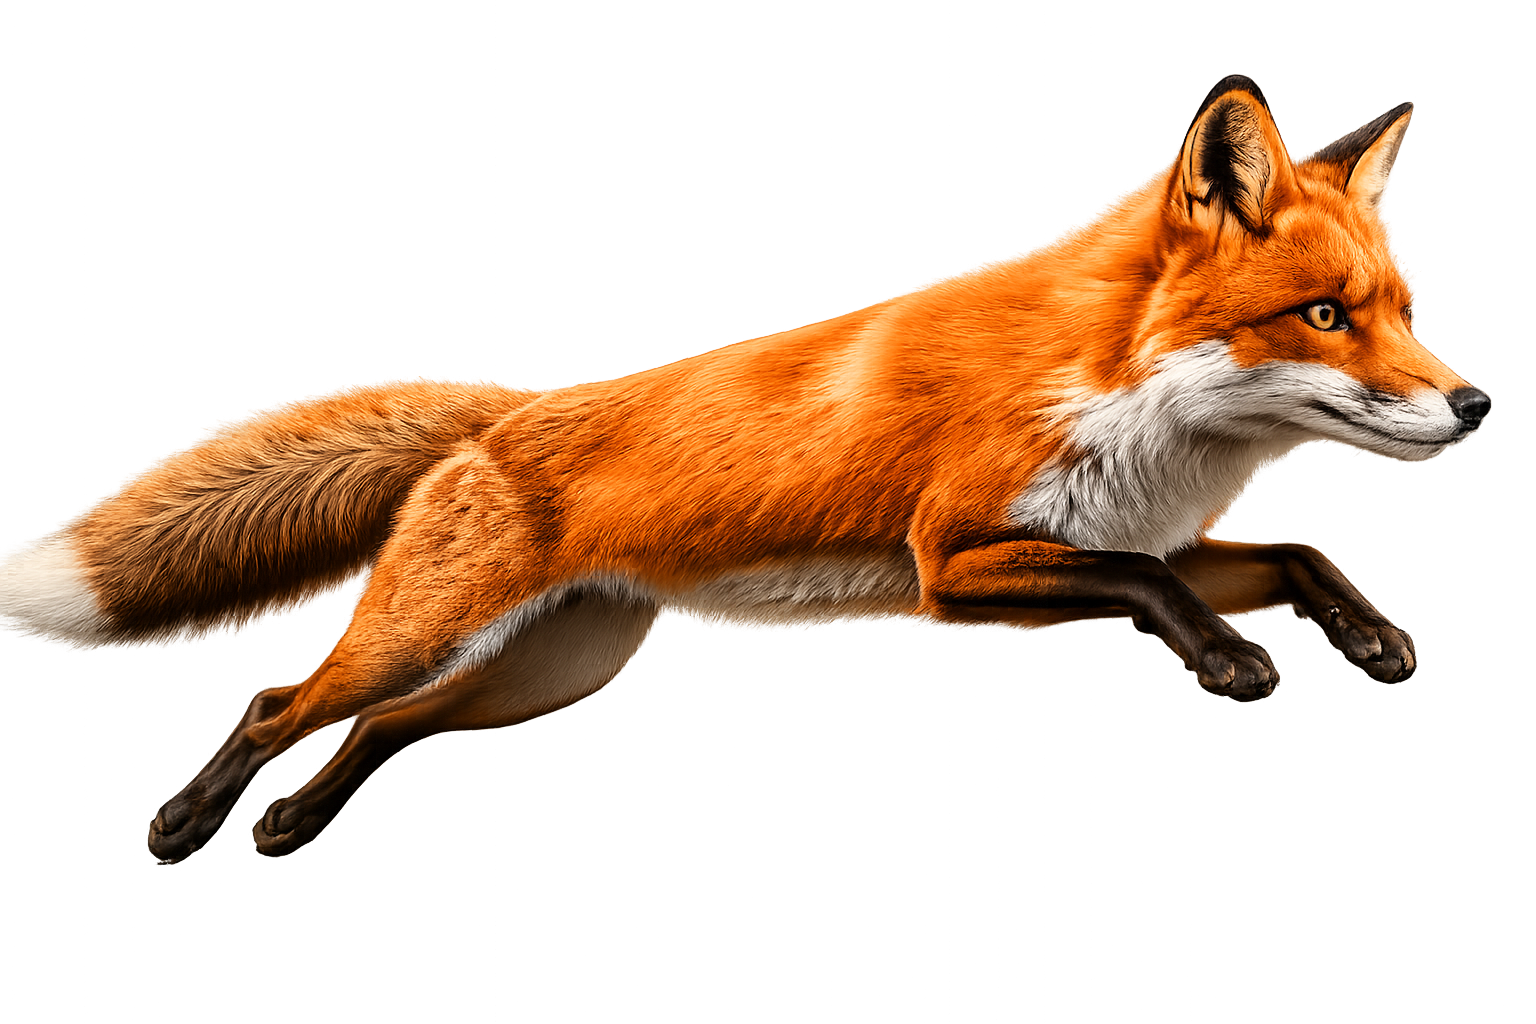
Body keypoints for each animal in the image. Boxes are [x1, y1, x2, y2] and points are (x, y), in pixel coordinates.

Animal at [0, 76, 1489, 862]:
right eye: (1325, 315)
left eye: (1403, 309)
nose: (1475, 404)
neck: (1134, 410)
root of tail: (507, 409)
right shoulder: (957, 565)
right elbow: (1147, 586)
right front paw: (1225, 663)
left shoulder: (1119, 536)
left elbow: (1290, 552)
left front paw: (1369, 637)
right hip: (423, 637)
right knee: (281, 700)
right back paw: (193, 817)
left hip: (542, 673)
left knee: (381, 730)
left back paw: (301, 820)